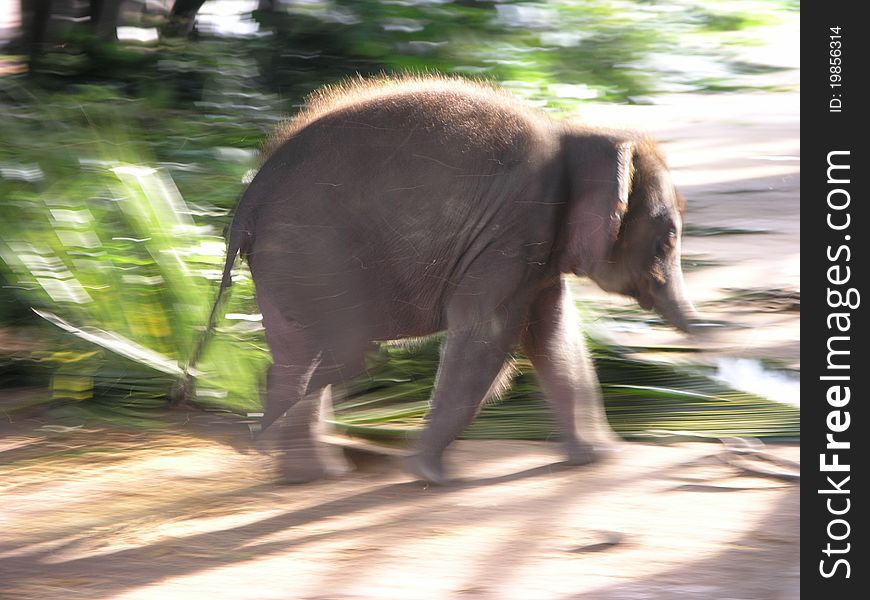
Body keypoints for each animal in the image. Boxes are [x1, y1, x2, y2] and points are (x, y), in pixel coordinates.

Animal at [203, 75, 696, 486]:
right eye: (668, 240)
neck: (575, 133)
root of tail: (246, 201)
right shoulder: (514, 230)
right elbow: (486, 339)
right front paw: (429, 474)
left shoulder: (534, 251)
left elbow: (556, 337)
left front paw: (599, 457)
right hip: (314, 254)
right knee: (337, 352)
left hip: (286, 268)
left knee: (301, 355)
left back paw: (308, 472)